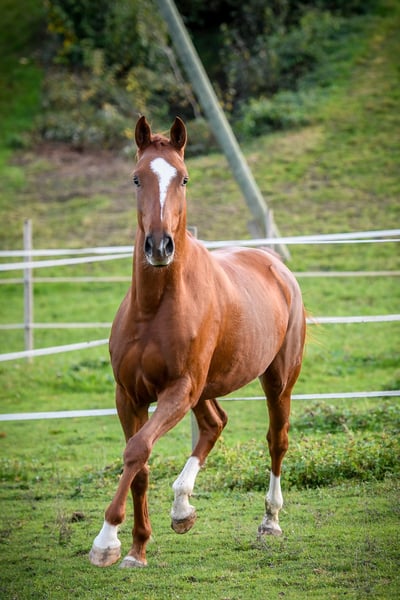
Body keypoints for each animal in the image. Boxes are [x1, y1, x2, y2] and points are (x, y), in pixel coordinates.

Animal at [89, 116, 306, 568]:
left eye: (184, 178)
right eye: (136, 178)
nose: (159, 246)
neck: (154, 308)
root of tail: (275, 264)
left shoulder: (177, 390)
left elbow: (136, 450)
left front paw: (106, 542)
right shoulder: (129, 395)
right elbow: (141, 463)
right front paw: (137, 548)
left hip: (277, 381)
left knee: (277, 440)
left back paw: (270, 521)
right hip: (204, 389)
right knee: (214, 423)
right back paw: (182, 508)